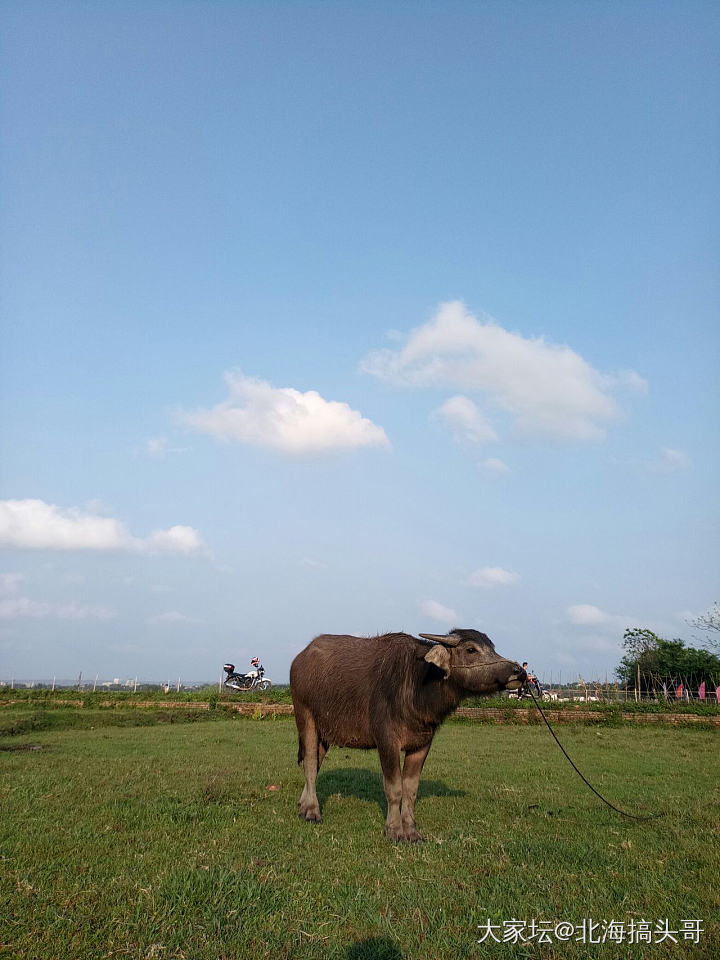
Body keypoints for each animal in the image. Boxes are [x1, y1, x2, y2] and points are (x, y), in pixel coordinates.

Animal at [290, 632, 524, 840]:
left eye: (492, 648)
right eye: (471, 650)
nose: (518, 672)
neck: (416, 686)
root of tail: (300, 659)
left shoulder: (422, 744)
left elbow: (410, 789)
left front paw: (411, 830)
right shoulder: (387, 741)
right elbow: (394, 788)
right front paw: (394, 830)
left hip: (325, 732)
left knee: (316, 763)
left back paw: (303, 805)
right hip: (305, 716)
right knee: (309, 763)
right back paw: (312, 811)